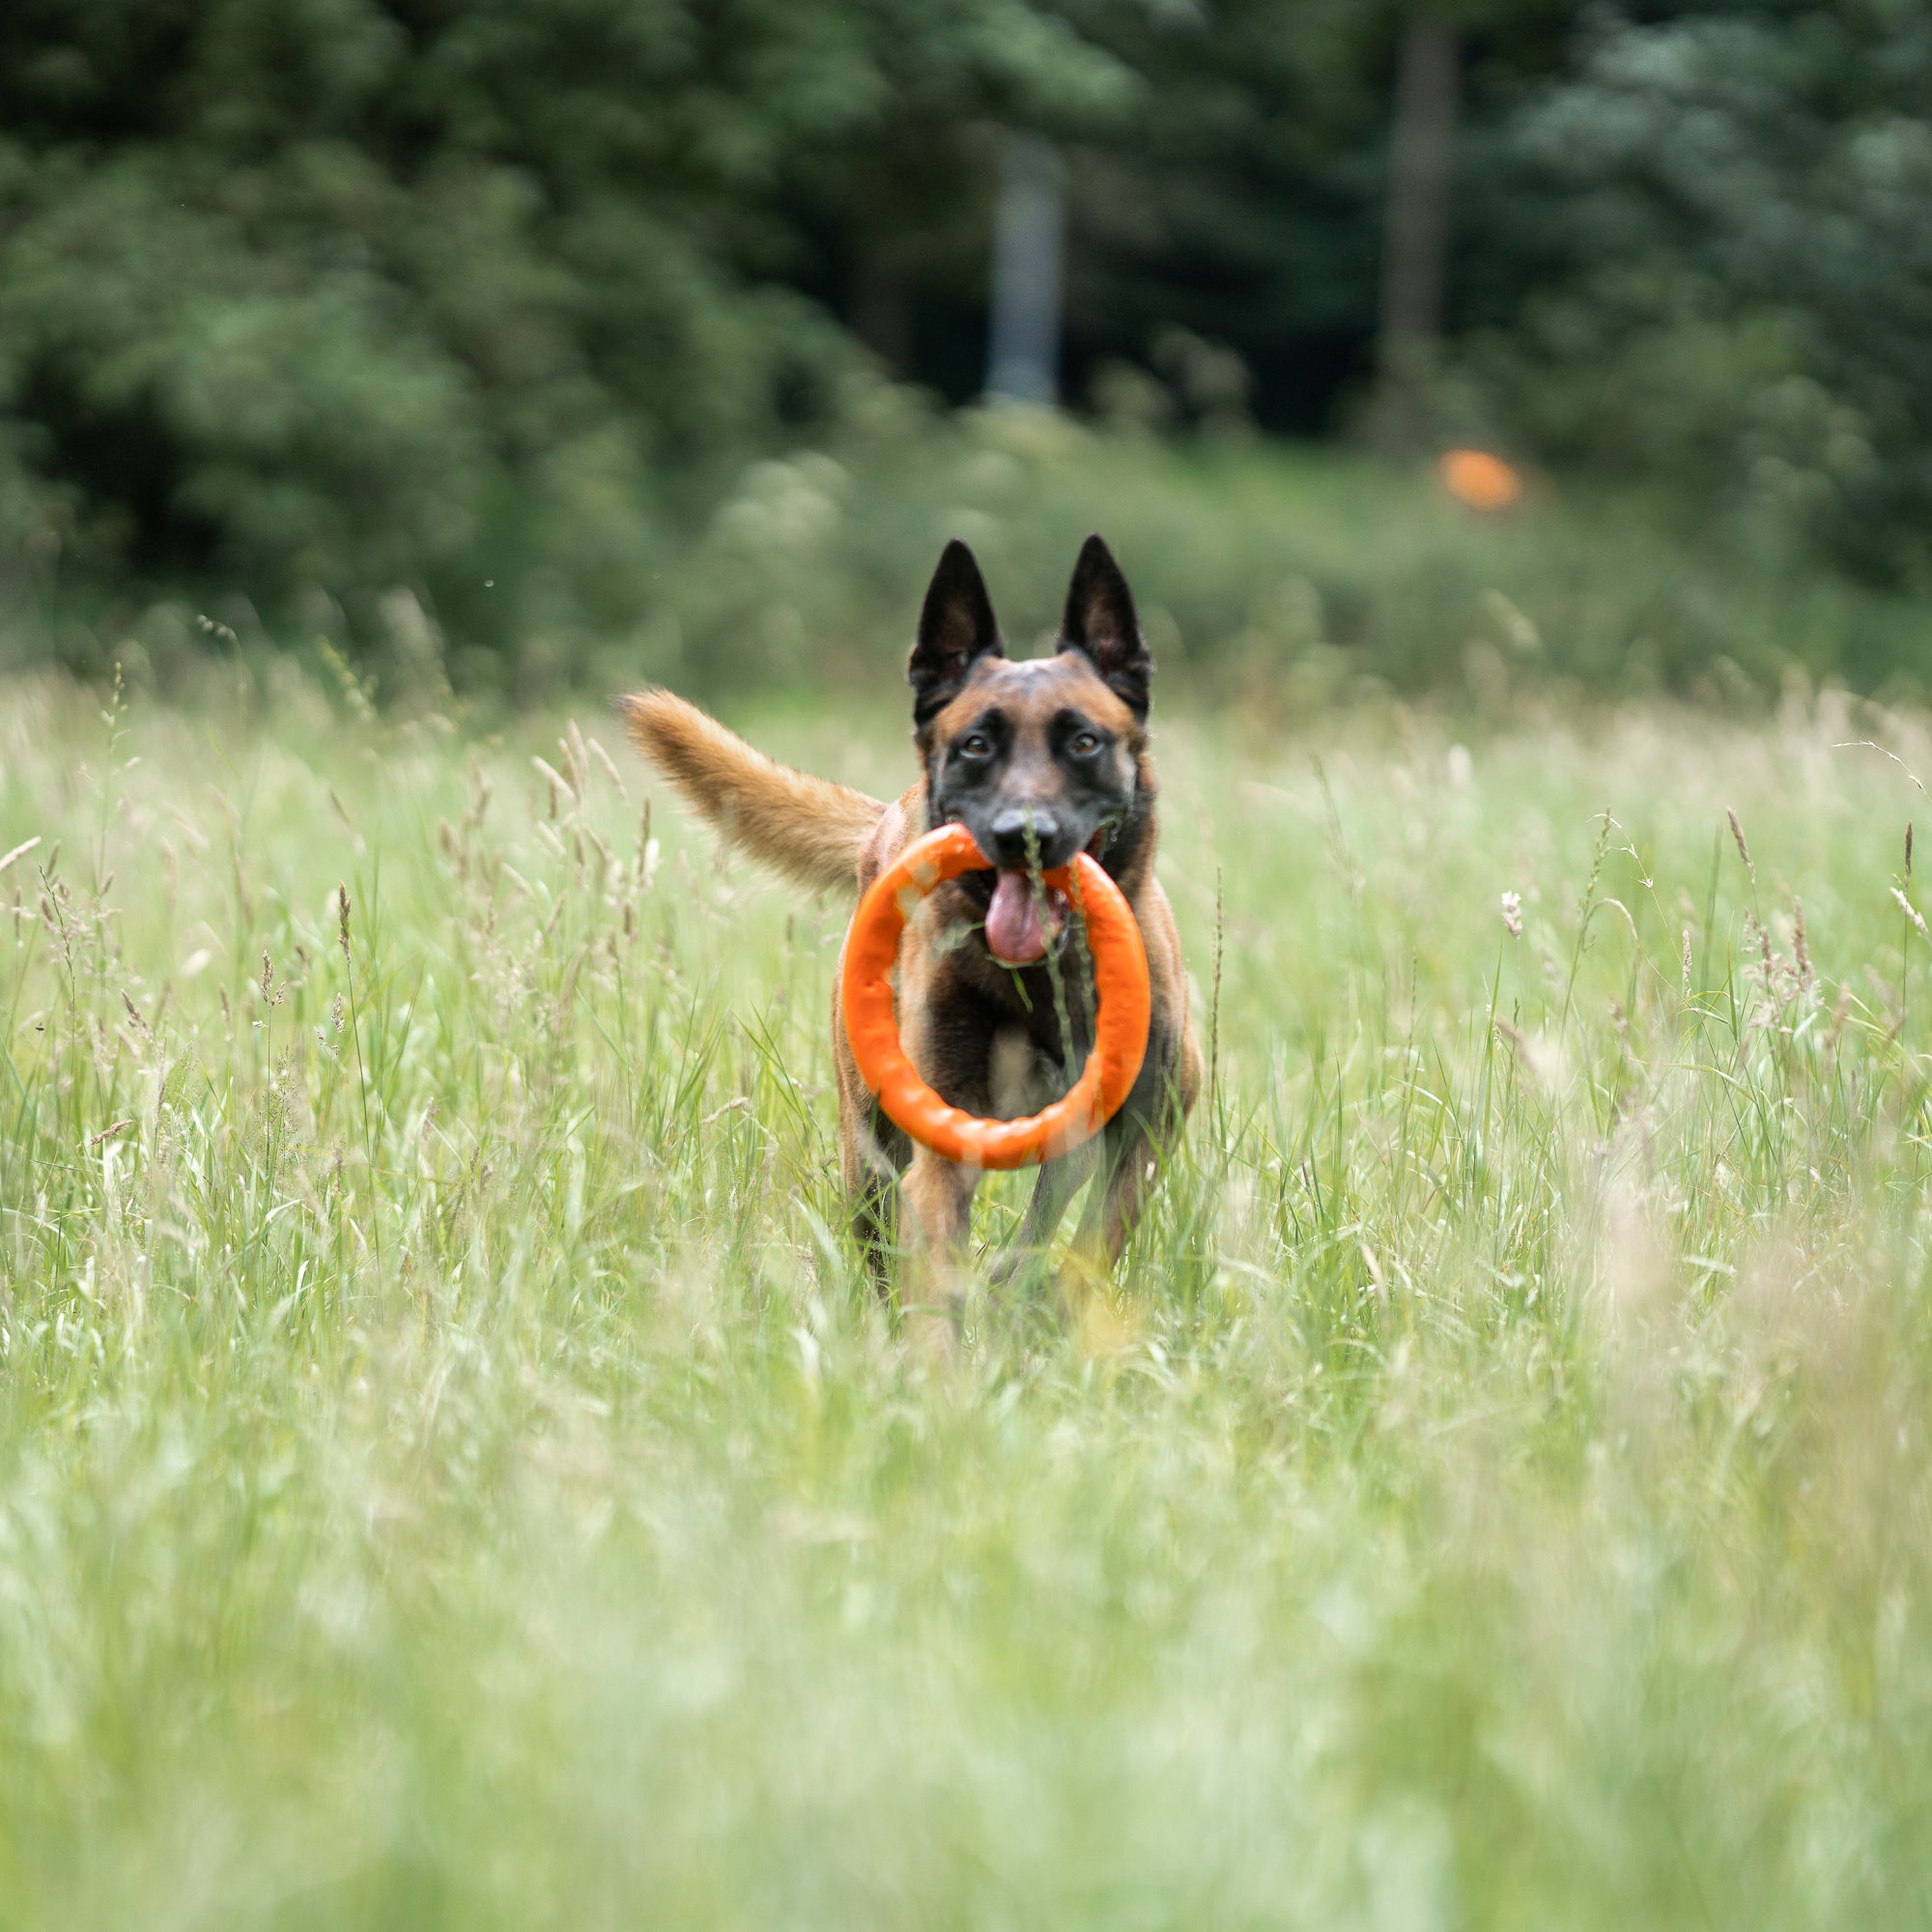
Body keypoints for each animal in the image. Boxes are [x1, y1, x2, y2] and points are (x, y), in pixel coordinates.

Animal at [622, 533, 1190, 1314]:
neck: (1040, 981)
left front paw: (1049, 1301)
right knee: (884, 1240)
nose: (1025, 835)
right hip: (868, 1138)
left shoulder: (1153, 1121)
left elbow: (1097, 1236)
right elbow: (938, 1251)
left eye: (1083, 743)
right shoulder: (941, 1135)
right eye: (977, 746)